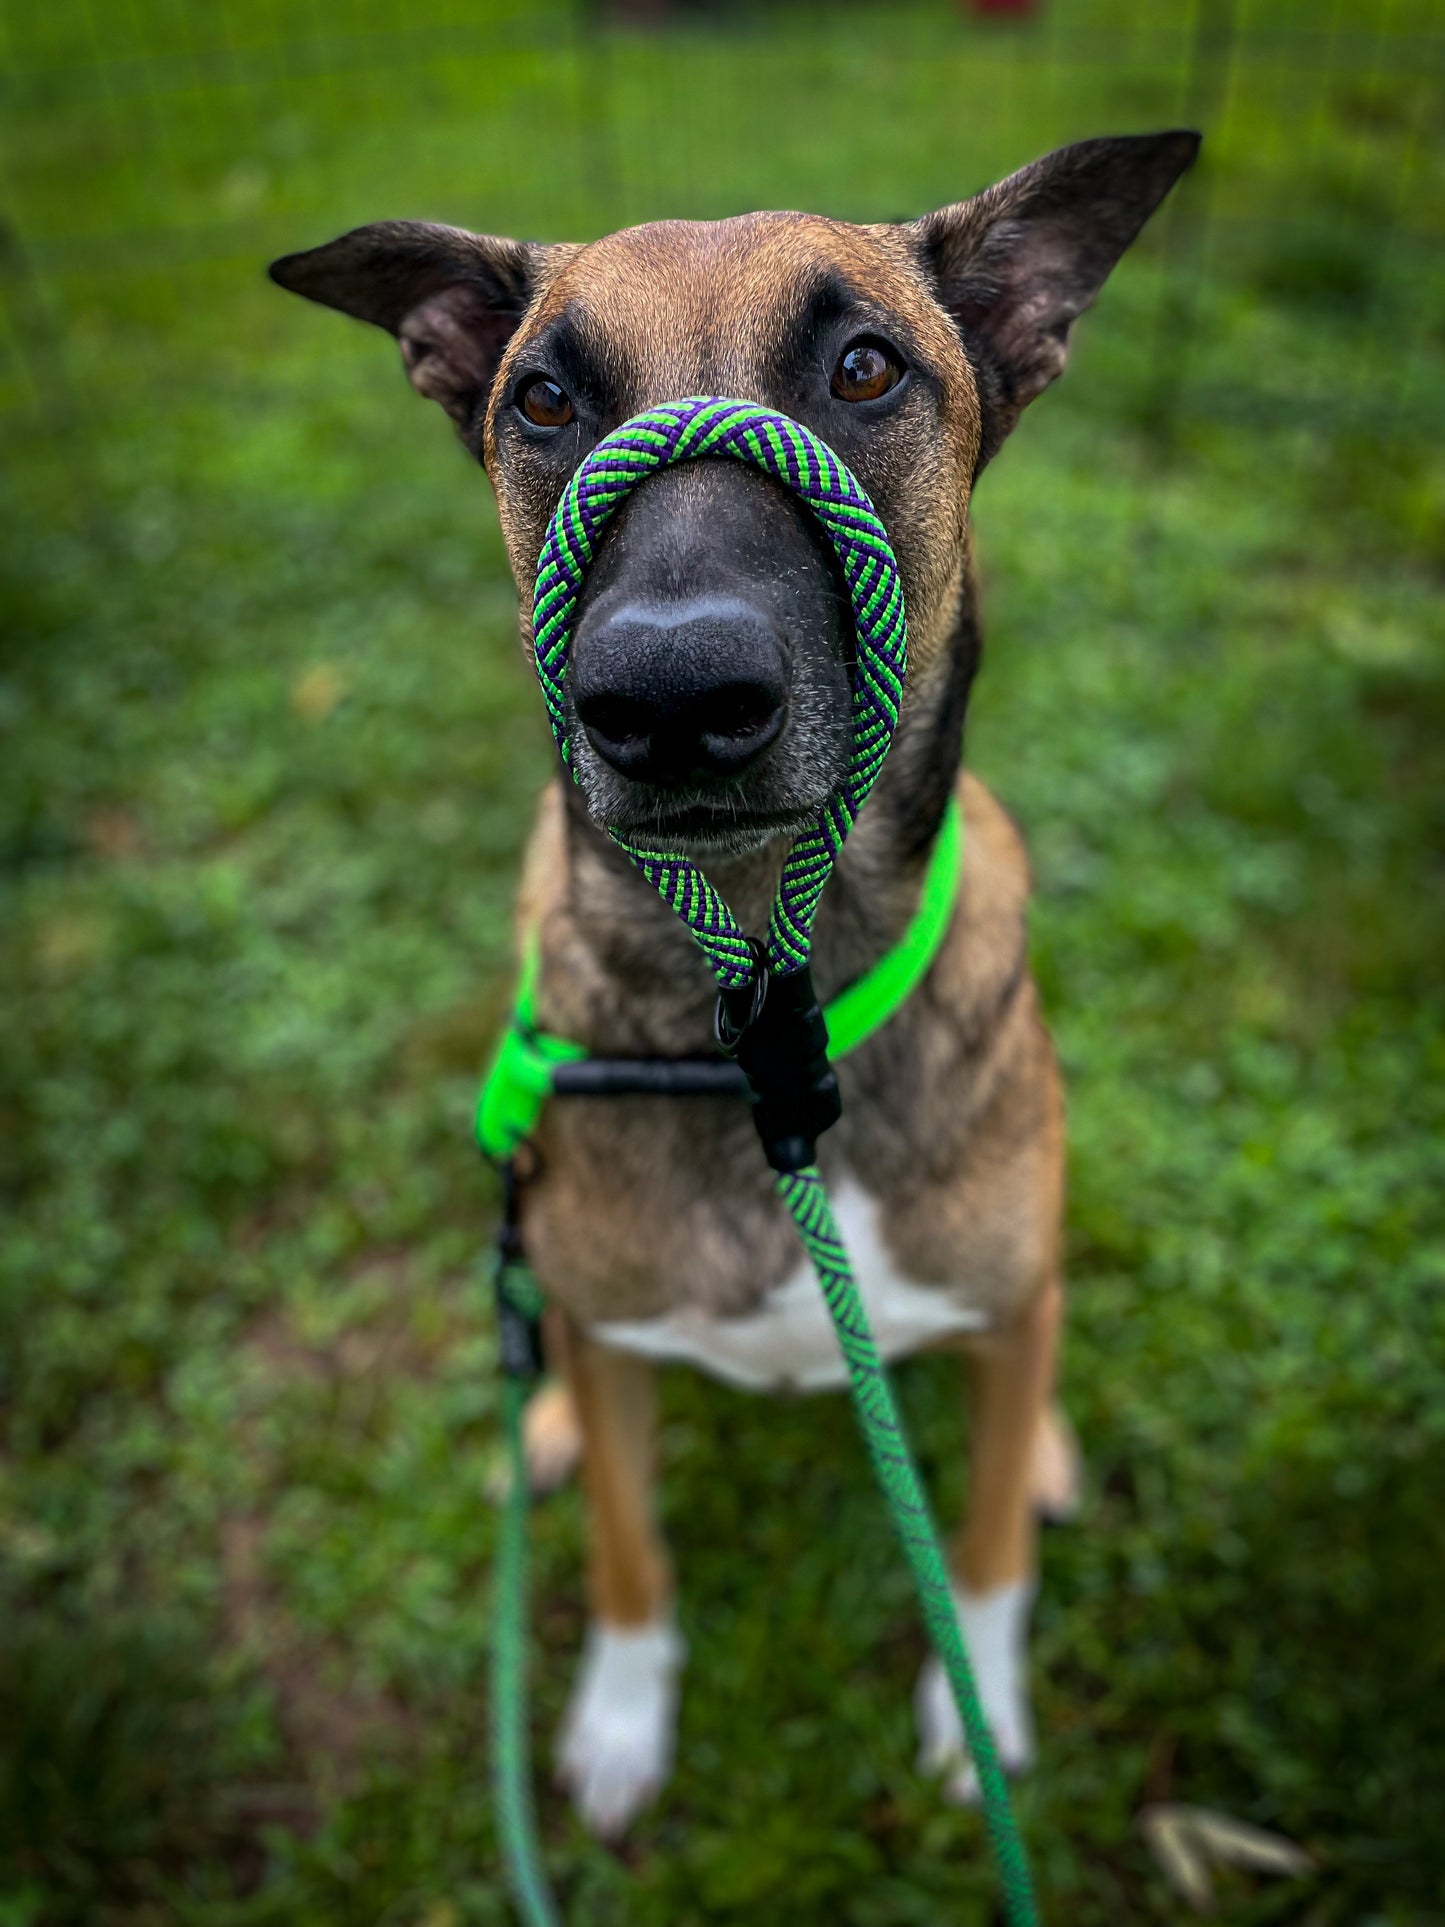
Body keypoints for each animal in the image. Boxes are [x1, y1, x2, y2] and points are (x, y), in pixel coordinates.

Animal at [271, 131, 1202, 1834]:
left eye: (865, 367)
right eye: (542, 399)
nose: (671, 698)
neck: (771, 1016)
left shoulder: (1001, 1304)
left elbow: (979, 1547)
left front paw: (979, 1719)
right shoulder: (612, 1337)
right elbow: (630, 1542)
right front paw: (621, 1716)